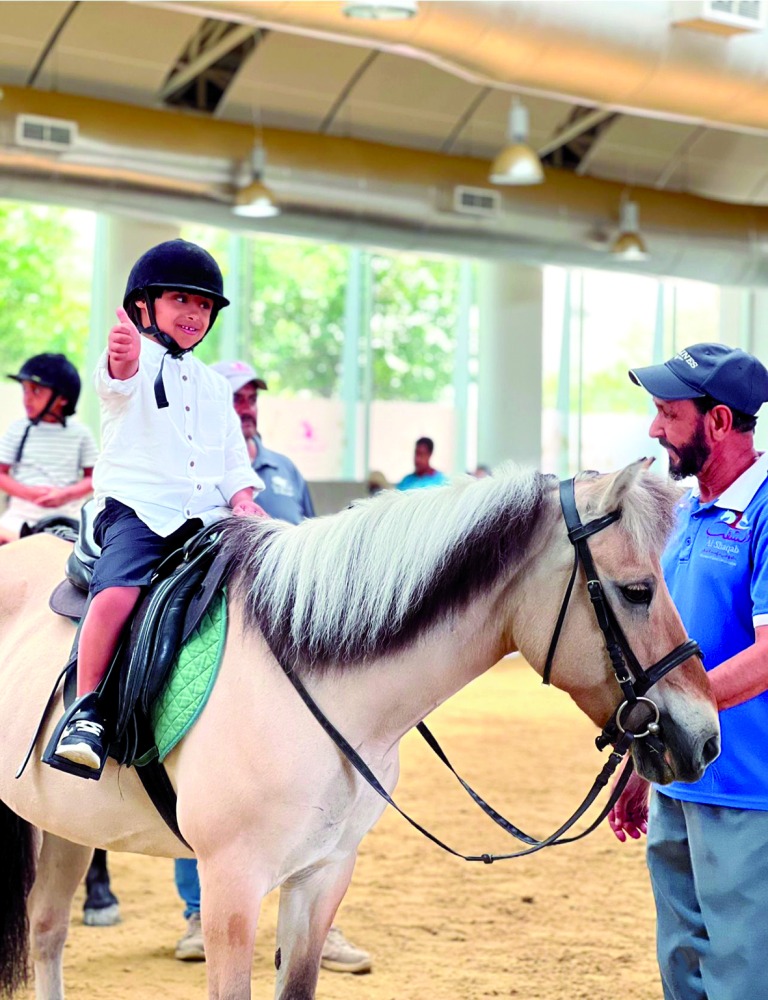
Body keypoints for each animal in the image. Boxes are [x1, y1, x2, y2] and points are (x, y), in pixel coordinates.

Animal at [0, 460, 720, 1000]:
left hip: (66, 824)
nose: (705, 737)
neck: (313, 679)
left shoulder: (321, 874)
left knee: (49, 931)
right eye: (636, 591)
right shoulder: (231, 883)